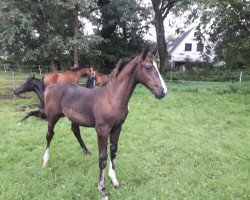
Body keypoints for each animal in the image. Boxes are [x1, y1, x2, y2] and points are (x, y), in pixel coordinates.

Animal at [42, 47, 167, 200]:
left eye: (157, 66)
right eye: (148, 67)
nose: (163, 92)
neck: (112, 98)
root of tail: (49, 87)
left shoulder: (117, 128)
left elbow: (113, 151)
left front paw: (114, 180)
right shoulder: (102, 130)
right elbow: (103, 158)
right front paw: (102, 190)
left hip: (74, 117)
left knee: (75, 131)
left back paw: (86, 152)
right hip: (52, 118)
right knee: (49, 135)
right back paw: (45, 161)